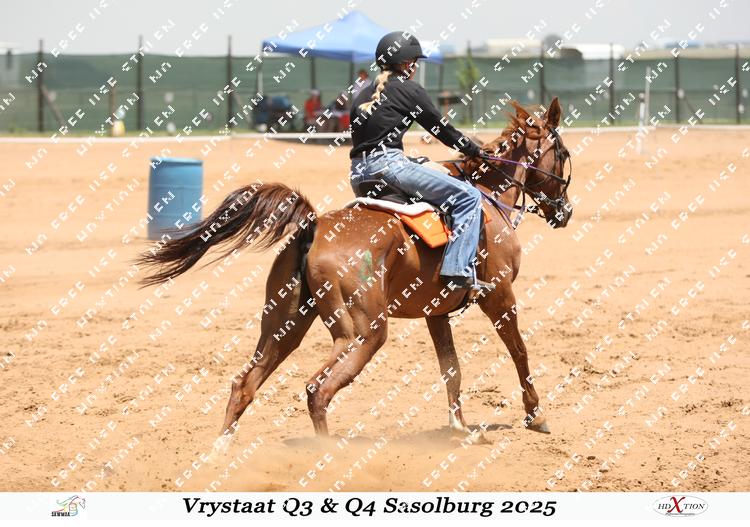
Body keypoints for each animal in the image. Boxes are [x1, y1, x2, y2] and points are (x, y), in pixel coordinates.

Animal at [136, 97, 572, 455]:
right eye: (563, 153)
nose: (564, 211)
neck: (485, 196)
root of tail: (313, 226)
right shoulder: (498, 294)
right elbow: (519, 351)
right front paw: (536, 415)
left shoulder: (436, 313)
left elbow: (452, 368)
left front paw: (461, 429)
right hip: (363, 331)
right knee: (318, 389)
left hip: (284, 325)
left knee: (246, 383)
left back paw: (219, 452)